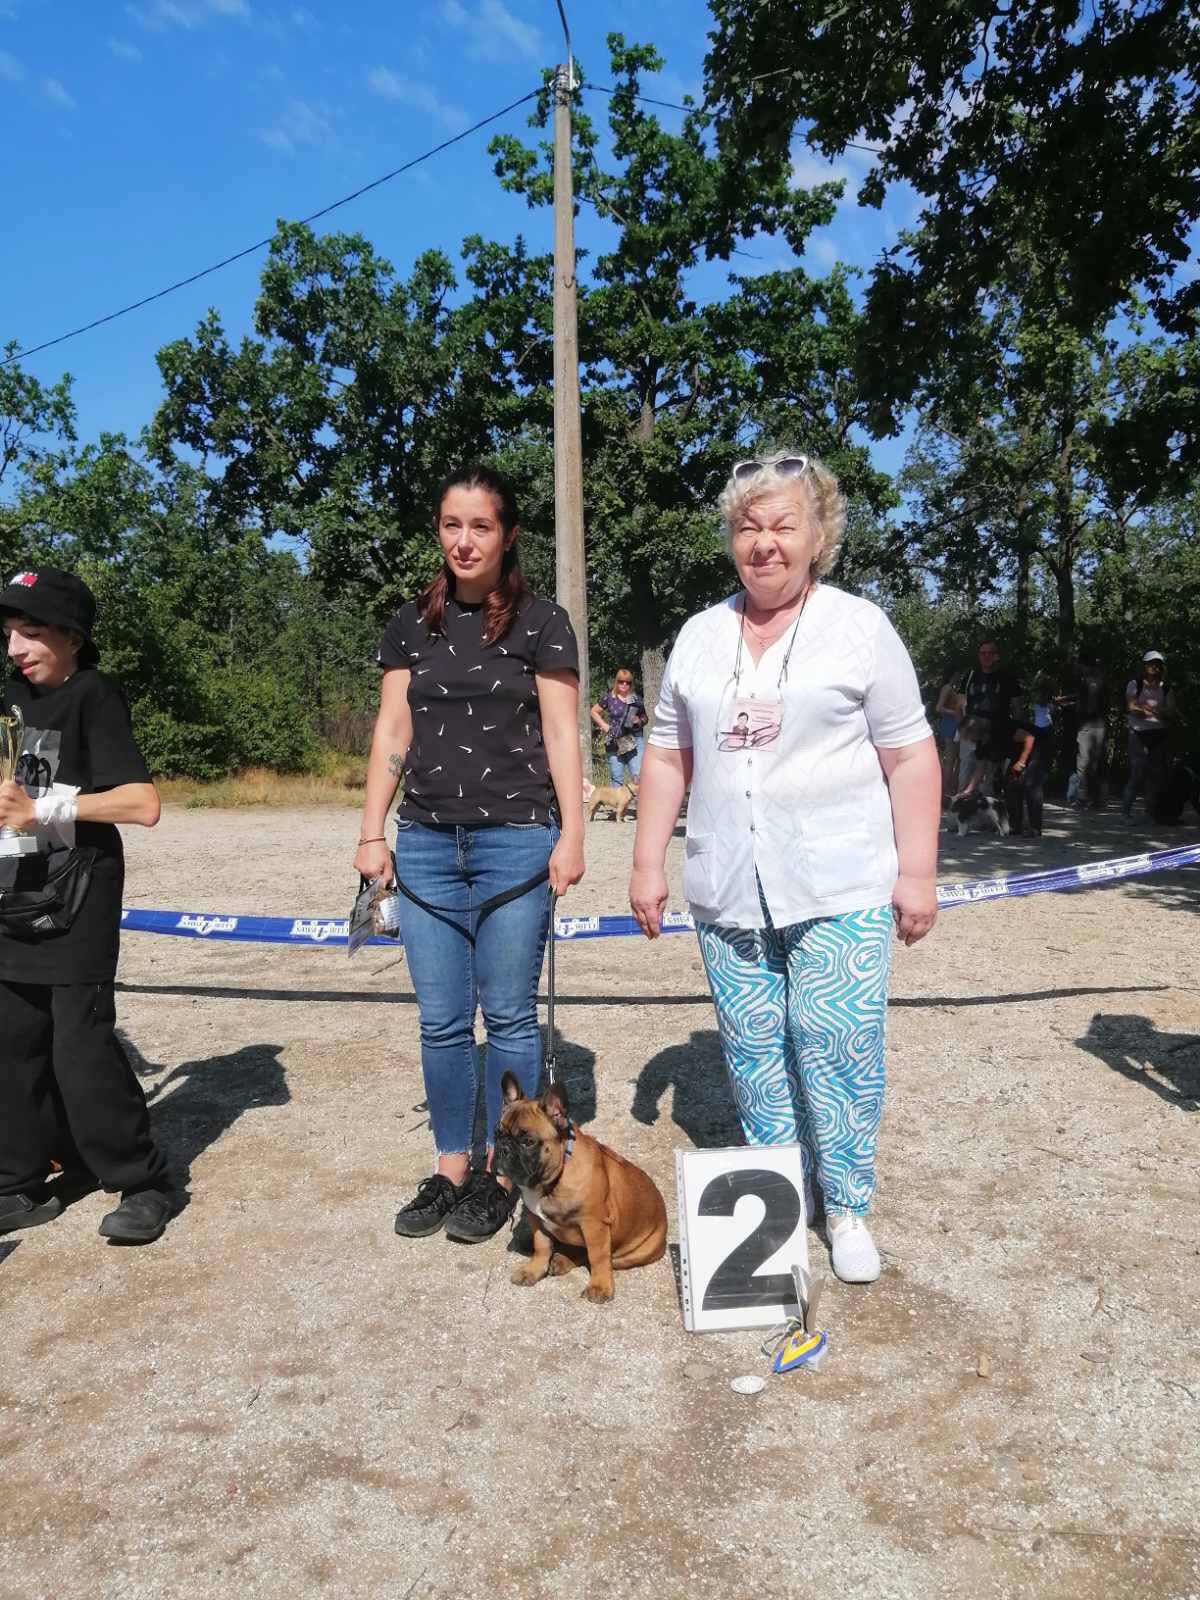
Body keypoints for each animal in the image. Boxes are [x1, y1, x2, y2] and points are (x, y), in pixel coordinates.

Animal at [493, 1072, 667, 1303]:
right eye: (497, 1134)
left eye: (528, 1141)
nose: (502, 1149)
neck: (552, 1180)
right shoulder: (536, 1219)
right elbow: (541, 1246)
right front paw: (533, 1271)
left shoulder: (594, 1224)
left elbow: (598, 1256)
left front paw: (600, 1287)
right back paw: (560, 1260)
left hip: (634, 1251)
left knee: (598, 1256)